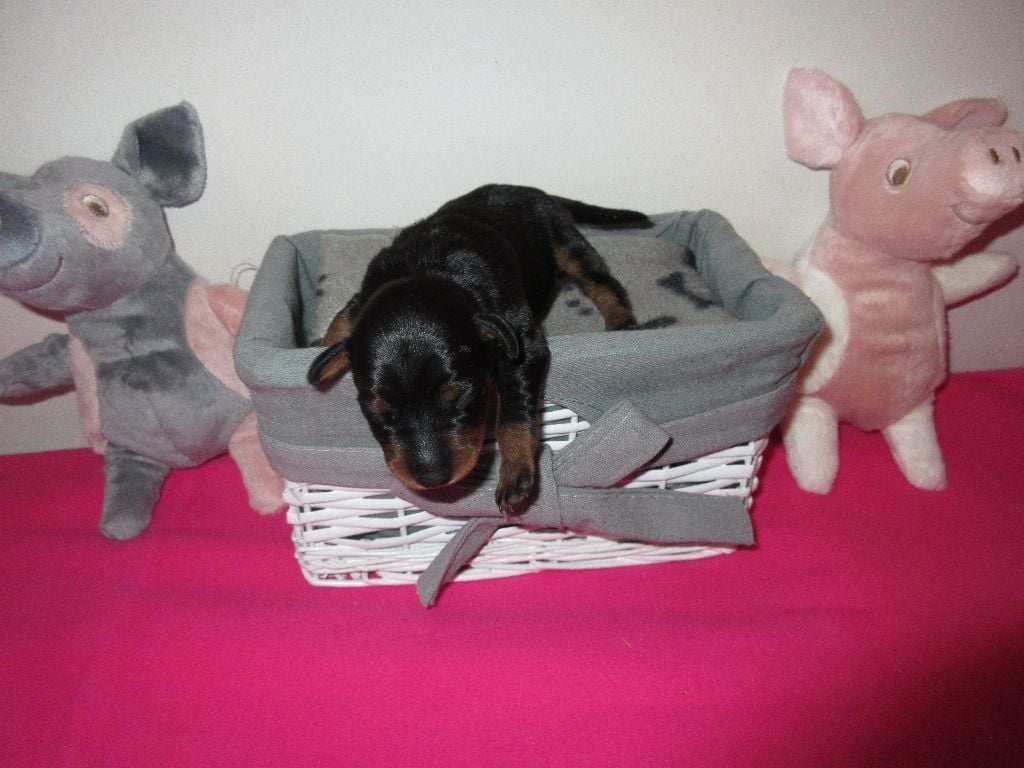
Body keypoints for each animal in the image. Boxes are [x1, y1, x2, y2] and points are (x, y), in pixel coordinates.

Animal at [307, 184, 647, 513]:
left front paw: (514, 474)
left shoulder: (522, 346)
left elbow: (514, 409)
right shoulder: (359, 300)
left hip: (565, 240)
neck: (425, 270)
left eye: (460, 396)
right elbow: (340, 319)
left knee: (602, 281)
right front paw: (318, 348)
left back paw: (622, 322)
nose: (432, 479)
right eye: (381, 411)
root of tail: (532, 190)